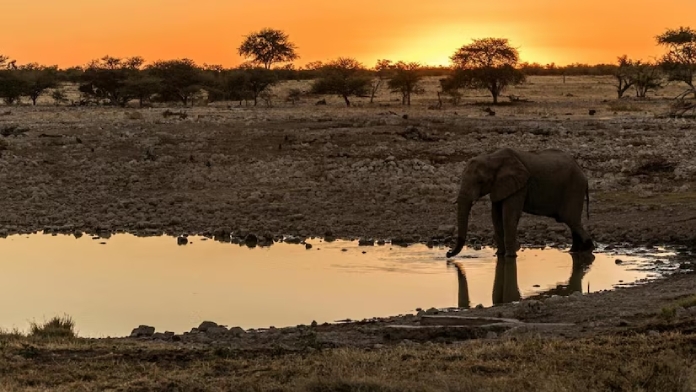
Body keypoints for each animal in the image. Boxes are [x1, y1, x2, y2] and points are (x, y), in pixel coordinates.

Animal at [446, 148, 592, 260]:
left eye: (480, 182)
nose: (448, 254)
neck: (492, 158)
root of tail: (583, 173)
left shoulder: (519, 185)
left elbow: (509, 216)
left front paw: (510, 257)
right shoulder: (499, 186)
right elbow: (496, 217)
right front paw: (499, 255)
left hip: (575, 188)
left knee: (571, 220)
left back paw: (588, 250)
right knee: (572, 223)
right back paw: (574, 251)